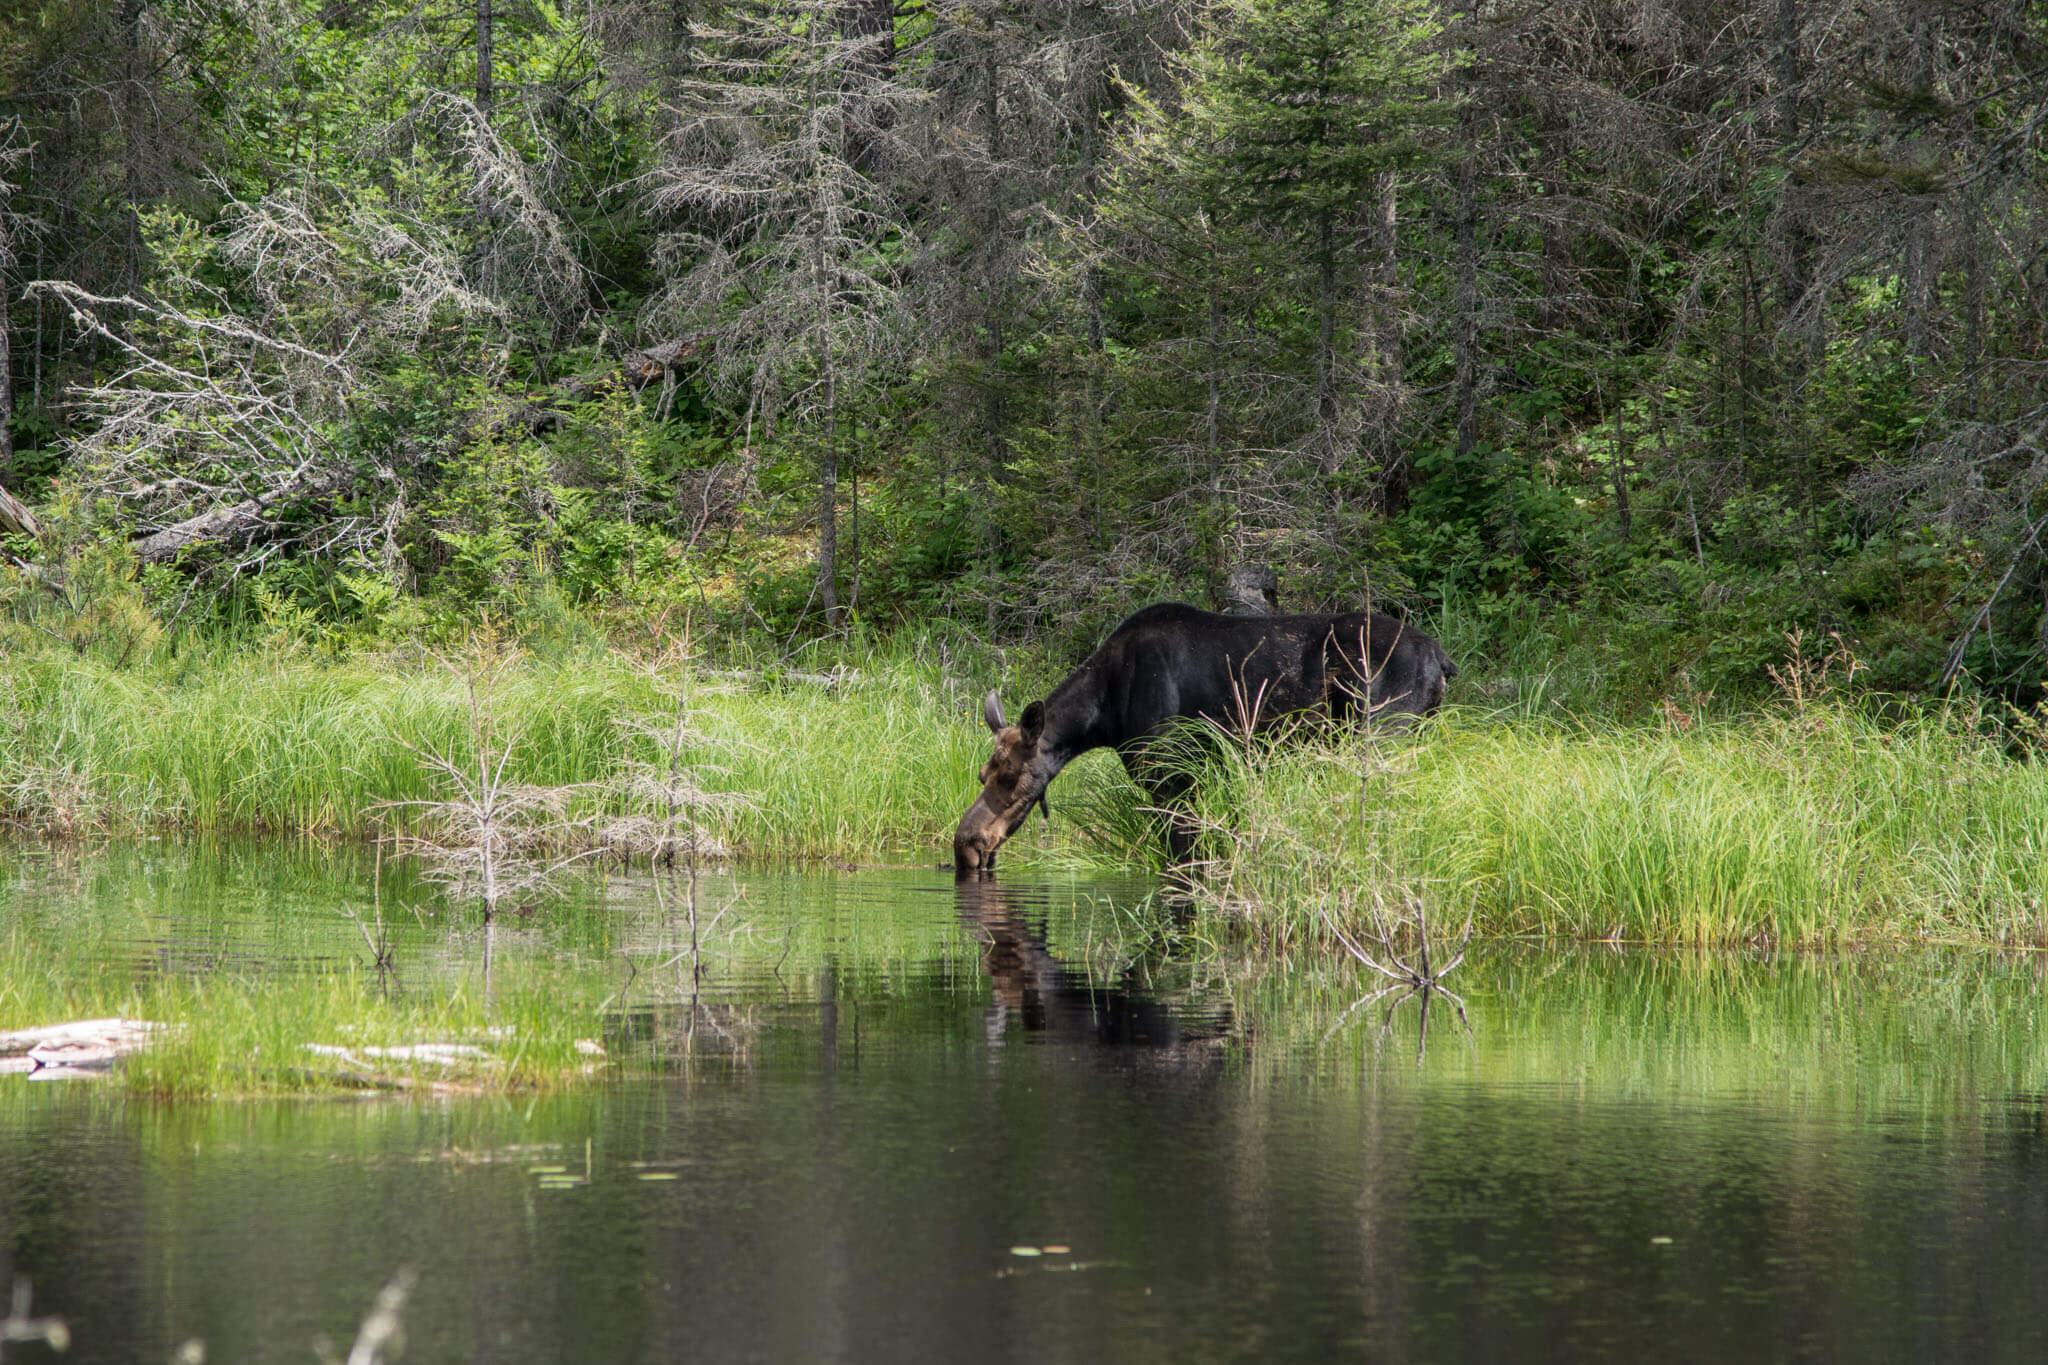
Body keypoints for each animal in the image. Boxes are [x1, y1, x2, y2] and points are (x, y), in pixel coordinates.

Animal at [958, 601, 1458, 875]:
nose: (967, 843)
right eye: (982, 773)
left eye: (1010, 777)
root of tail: (1442, 658)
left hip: (1381, 735)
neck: (1103, 714)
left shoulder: (1169, 777)